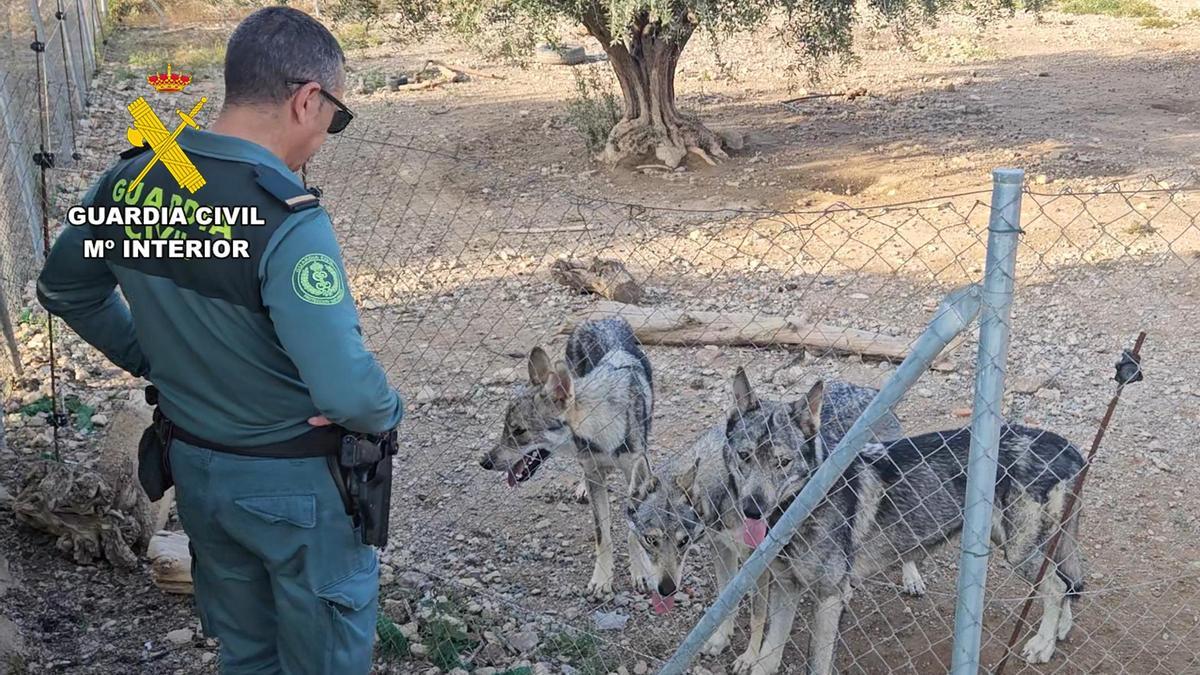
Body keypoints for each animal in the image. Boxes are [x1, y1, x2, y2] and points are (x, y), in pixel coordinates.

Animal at [475, 317, 652, 595]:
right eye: (505, 428)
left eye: (519, 430)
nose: (485, 462)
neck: (602, 434)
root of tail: (601, 318)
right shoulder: (593, 470)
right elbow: (602, 535)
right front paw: (602, 579)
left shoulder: (634, 474)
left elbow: (633, 530)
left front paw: (641, 573)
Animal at [628, 369, 902, 653]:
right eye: (650, 540)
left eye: (683, 542)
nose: (666, 589)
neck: (726, 492)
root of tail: (865, 389)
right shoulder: (722, 549)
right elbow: (726, 600)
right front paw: (720, 638)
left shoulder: (758, 565)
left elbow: (758, 615)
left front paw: (750, 656)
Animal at [720, 367, 1089, 672]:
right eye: (744, 456)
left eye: (783, 462)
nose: (752, 509)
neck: (802, 504)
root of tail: (1068, 445)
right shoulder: (786, 588)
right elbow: (768, 657)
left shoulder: (828, 598)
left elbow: (817, 663)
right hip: (1022, 543)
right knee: (1068, 581)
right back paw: (1060, 629)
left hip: (1018, 551)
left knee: (1057, 587)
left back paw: (1043, 644)